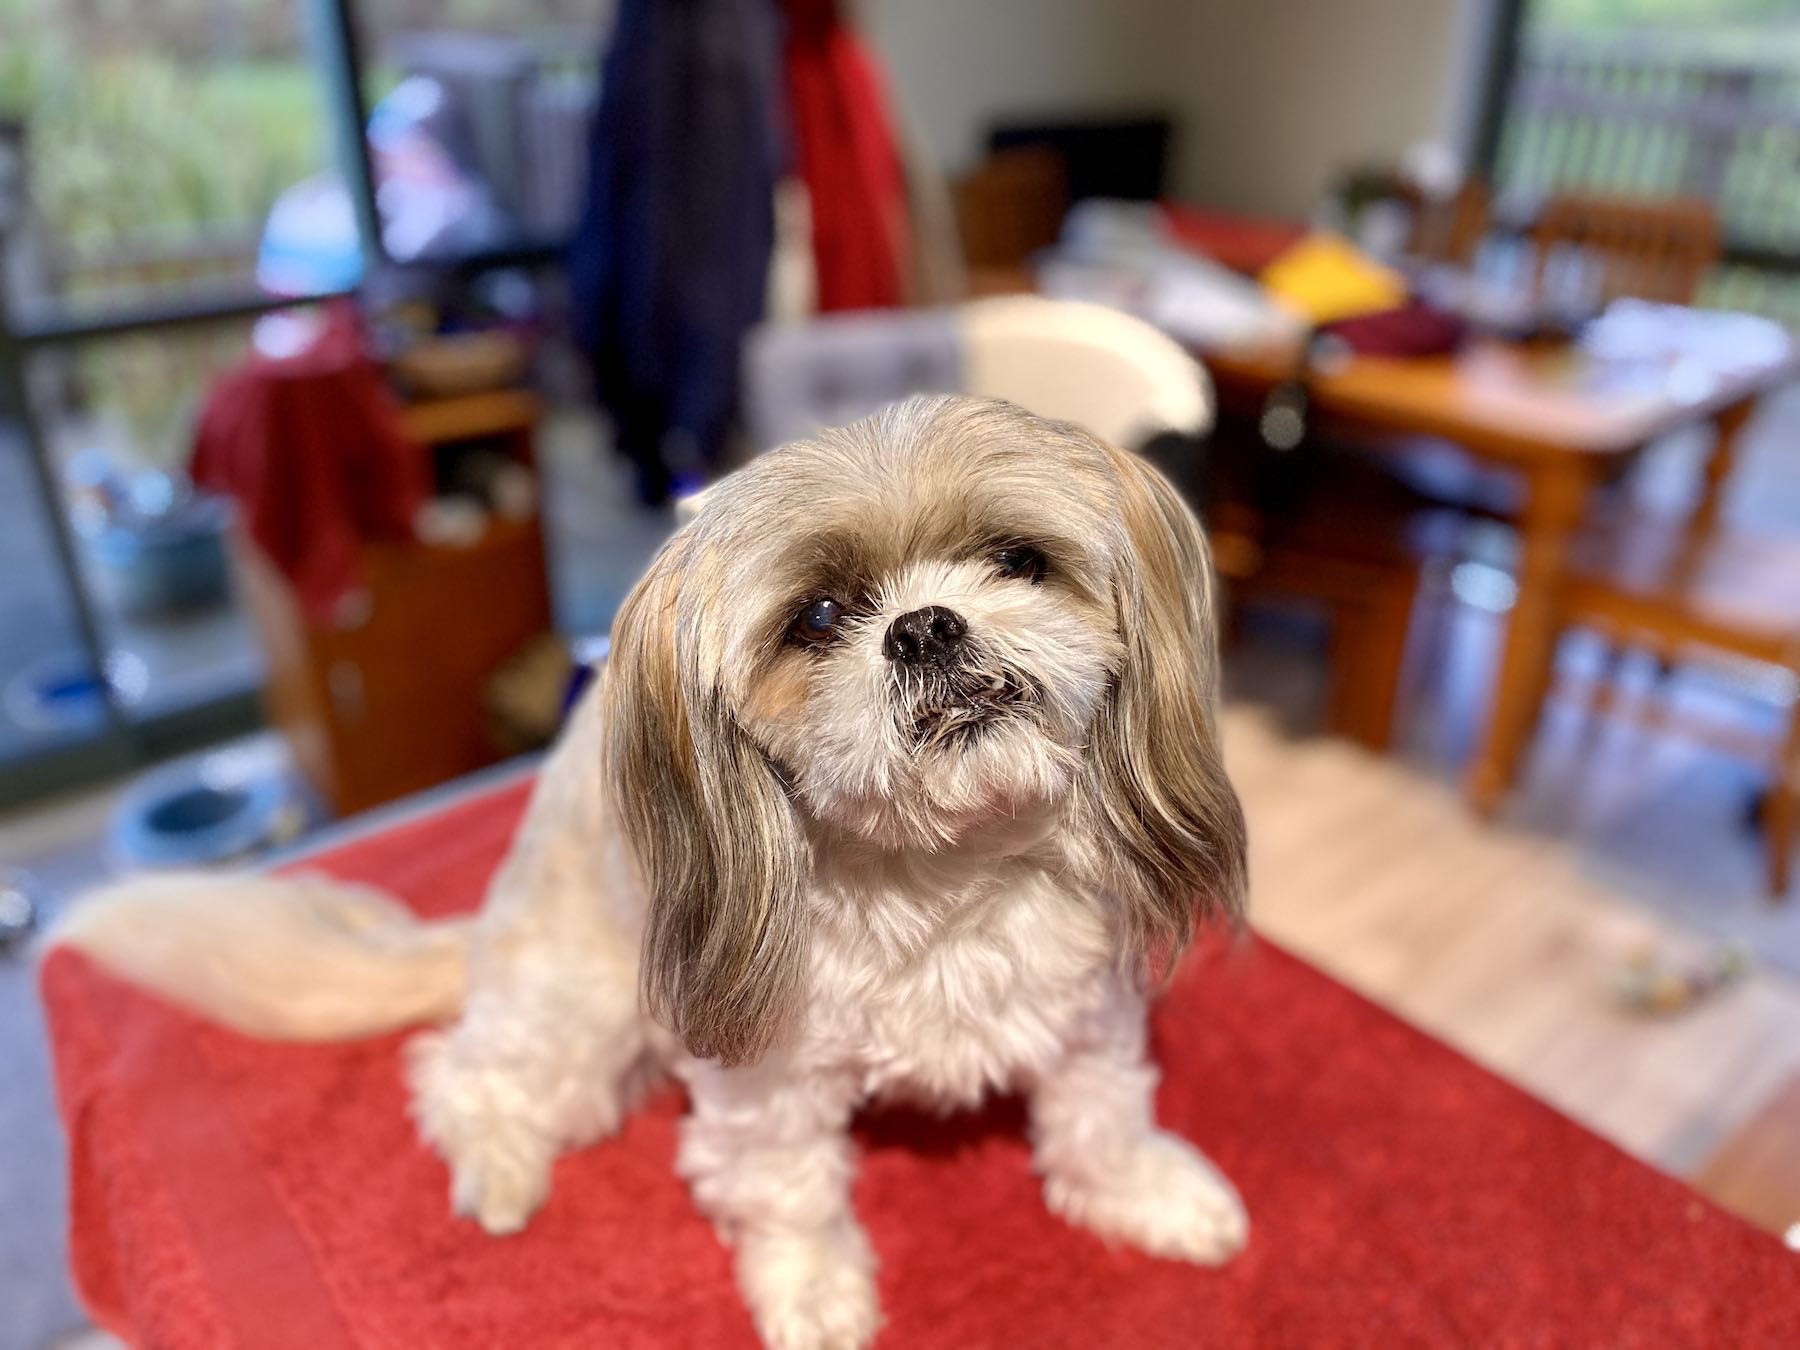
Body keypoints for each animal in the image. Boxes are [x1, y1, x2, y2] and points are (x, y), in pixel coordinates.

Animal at [49, 396, 1245, 1346]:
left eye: (1017, 559)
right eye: (819, 618)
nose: (923, 627)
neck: (943, 872)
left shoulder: (1085, 1004)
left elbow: (1101, 1118)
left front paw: (1145, 1194)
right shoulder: (764, 1081)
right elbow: (791, 1191)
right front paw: (814, 1295)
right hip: (581, 1021)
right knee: (462, 1075)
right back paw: (500, 1173)